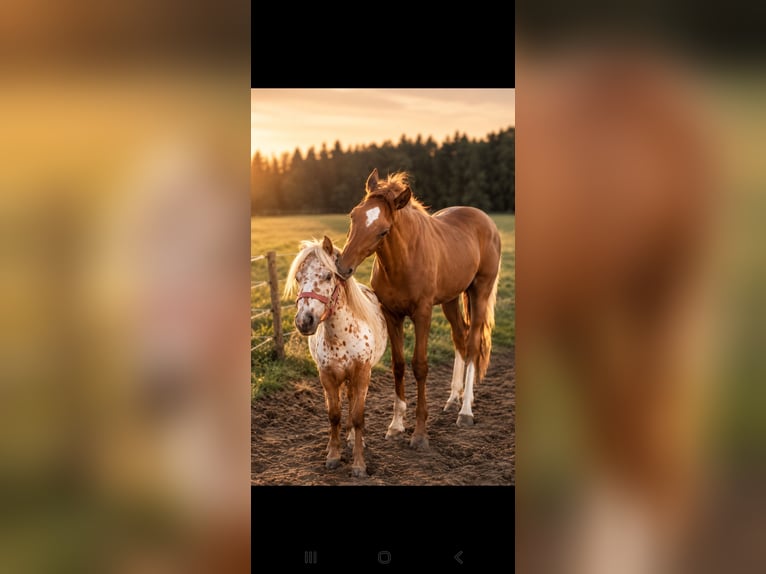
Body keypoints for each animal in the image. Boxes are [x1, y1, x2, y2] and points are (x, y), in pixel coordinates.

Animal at [284, 236, 388, 477]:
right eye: (298, 278)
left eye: (328, 275)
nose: (304, 321)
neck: (342, 337)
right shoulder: (327, 377)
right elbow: (334, 416)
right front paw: (333, 455)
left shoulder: (362, 376)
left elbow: (358, 417)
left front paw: (359, 464)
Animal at [336, 169, 502, 449]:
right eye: (353, 216)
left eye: (383, 231)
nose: (342, 267)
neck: (404, 261)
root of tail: (485, 220)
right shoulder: (392, 315)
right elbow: (399, 365)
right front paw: (395, 426)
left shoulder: (423, 314)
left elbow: (420, 366)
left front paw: (420, 433)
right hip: (450, 300)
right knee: (460, 338)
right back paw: (453, 399)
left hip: (480, 292)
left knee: (473, 343)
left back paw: (465, 411)